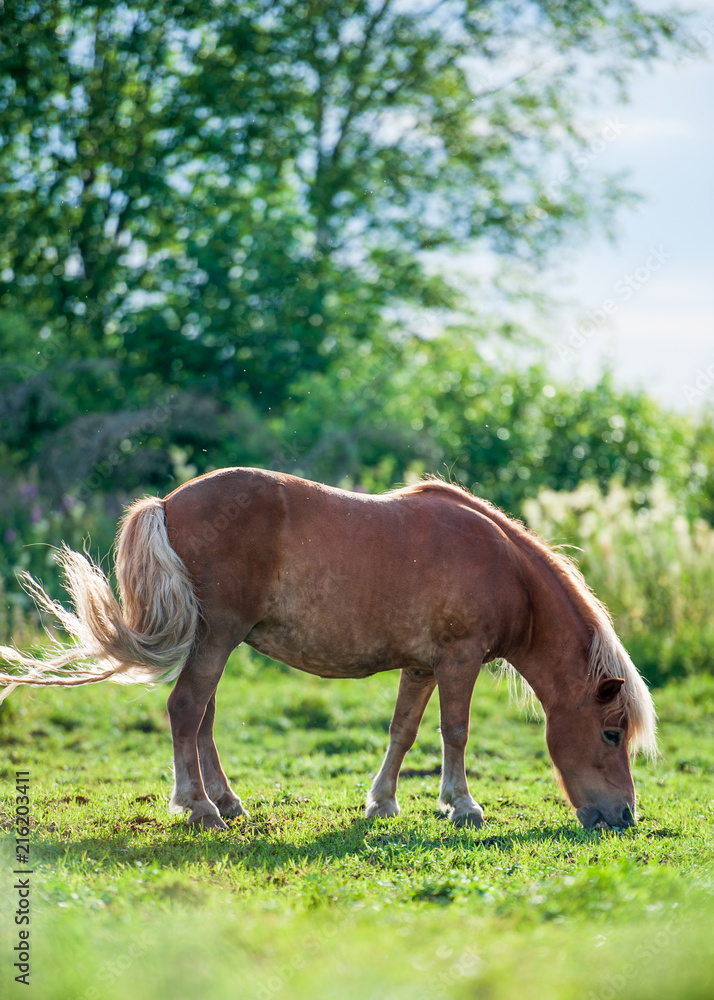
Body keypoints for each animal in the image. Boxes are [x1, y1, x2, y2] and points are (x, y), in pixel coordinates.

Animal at [0, 472, 656, 832]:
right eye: (611, 735)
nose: (625, 817)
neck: (503, 567)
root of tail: (167, 503)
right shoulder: (459, 660)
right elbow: (456, 732)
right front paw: (462, 804)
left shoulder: (421, 666)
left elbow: (403, 731)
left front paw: (382, 803)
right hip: (216, 638)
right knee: (186, 709)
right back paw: (199, 807)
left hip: (217, 643)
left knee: (202, 717)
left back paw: (226, 801)